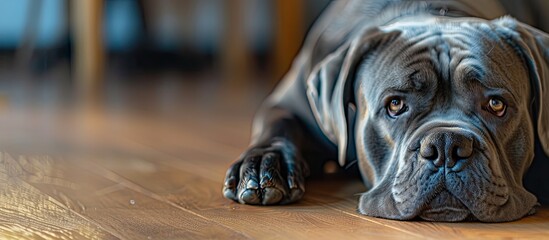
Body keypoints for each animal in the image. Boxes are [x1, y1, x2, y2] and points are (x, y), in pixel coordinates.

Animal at [220, 0, 544, 223]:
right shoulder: (290, 105)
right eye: (395, 105)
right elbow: (279, 124)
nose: (446, 145)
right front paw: (262, 165)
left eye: (496, 105)